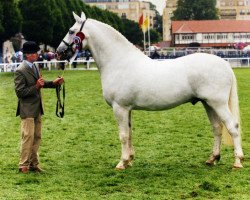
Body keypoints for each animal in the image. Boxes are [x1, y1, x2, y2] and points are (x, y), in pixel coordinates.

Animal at [56, 11, 244, 170]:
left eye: (71, 31)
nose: (59, 52)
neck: (119, 62)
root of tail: (225, 64)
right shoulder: (127, 109)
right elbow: (129, 133)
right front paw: (130, 159)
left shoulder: (119, 108)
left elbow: (123, 135)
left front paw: (122, 162)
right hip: (208, 103)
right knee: (217, 128)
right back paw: (212, 158)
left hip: (218, 103)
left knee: (232, 126)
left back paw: (237, 161)